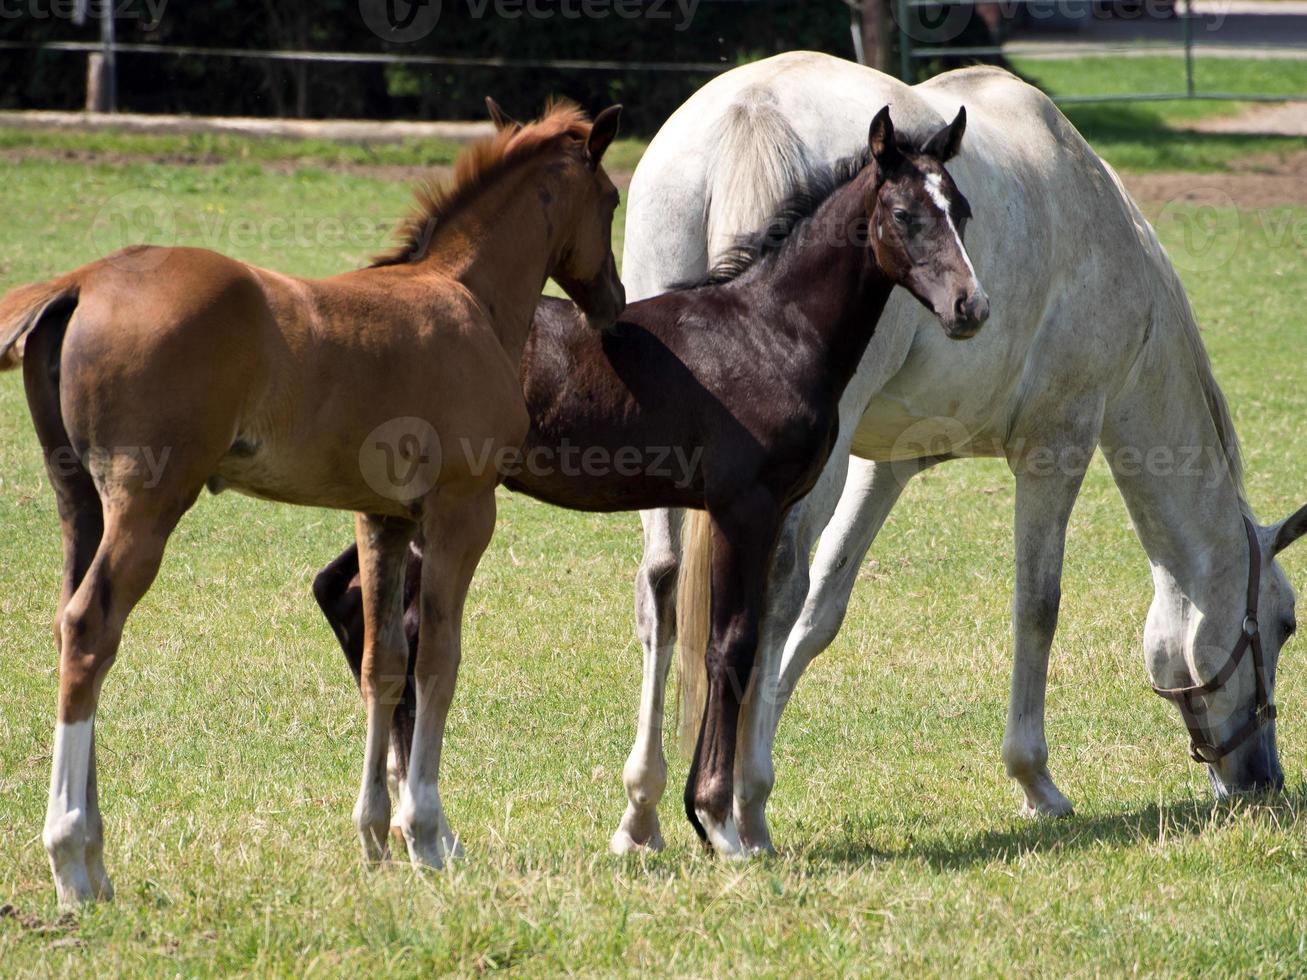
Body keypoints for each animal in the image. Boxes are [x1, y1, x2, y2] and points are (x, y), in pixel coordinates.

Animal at [0, 99, 627, 904]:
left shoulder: (382, 516)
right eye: (610, 199)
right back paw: (73, 859)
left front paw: (375, 837)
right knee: (89, 628)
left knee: (68, 626)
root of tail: (82, 281)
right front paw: (426, 835)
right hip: (146, 504)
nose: (612, 303)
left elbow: (384, 663)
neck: (469, 299)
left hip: (78, 502)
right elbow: (439, 660)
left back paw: (98, 863)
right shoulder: (462, 511)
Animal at [313, 107, 988, 857]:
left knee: (346, 597)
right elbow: (729, 643)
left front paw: (720, 819)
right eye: (903, 214)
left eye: (959, 208)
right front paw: (717, 819)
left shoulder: (762, 509)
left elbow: (747, 637)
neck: (771, 332)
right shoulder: (742, 506)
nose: (969, 307)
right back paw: (419, 821)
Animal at [611, 51, 1307, 857]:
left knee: (664, 584)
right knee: (774, 580)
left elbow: (823, 610)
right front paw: (1035, 782)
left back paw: (644, 811)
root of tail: (751, 110)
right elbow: (1037, 605)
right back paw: (739, 813)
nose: (1262, 779)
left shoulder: (886, 465)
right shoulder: (1055, 447)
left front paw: (759, 742)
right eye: (1284, 625)